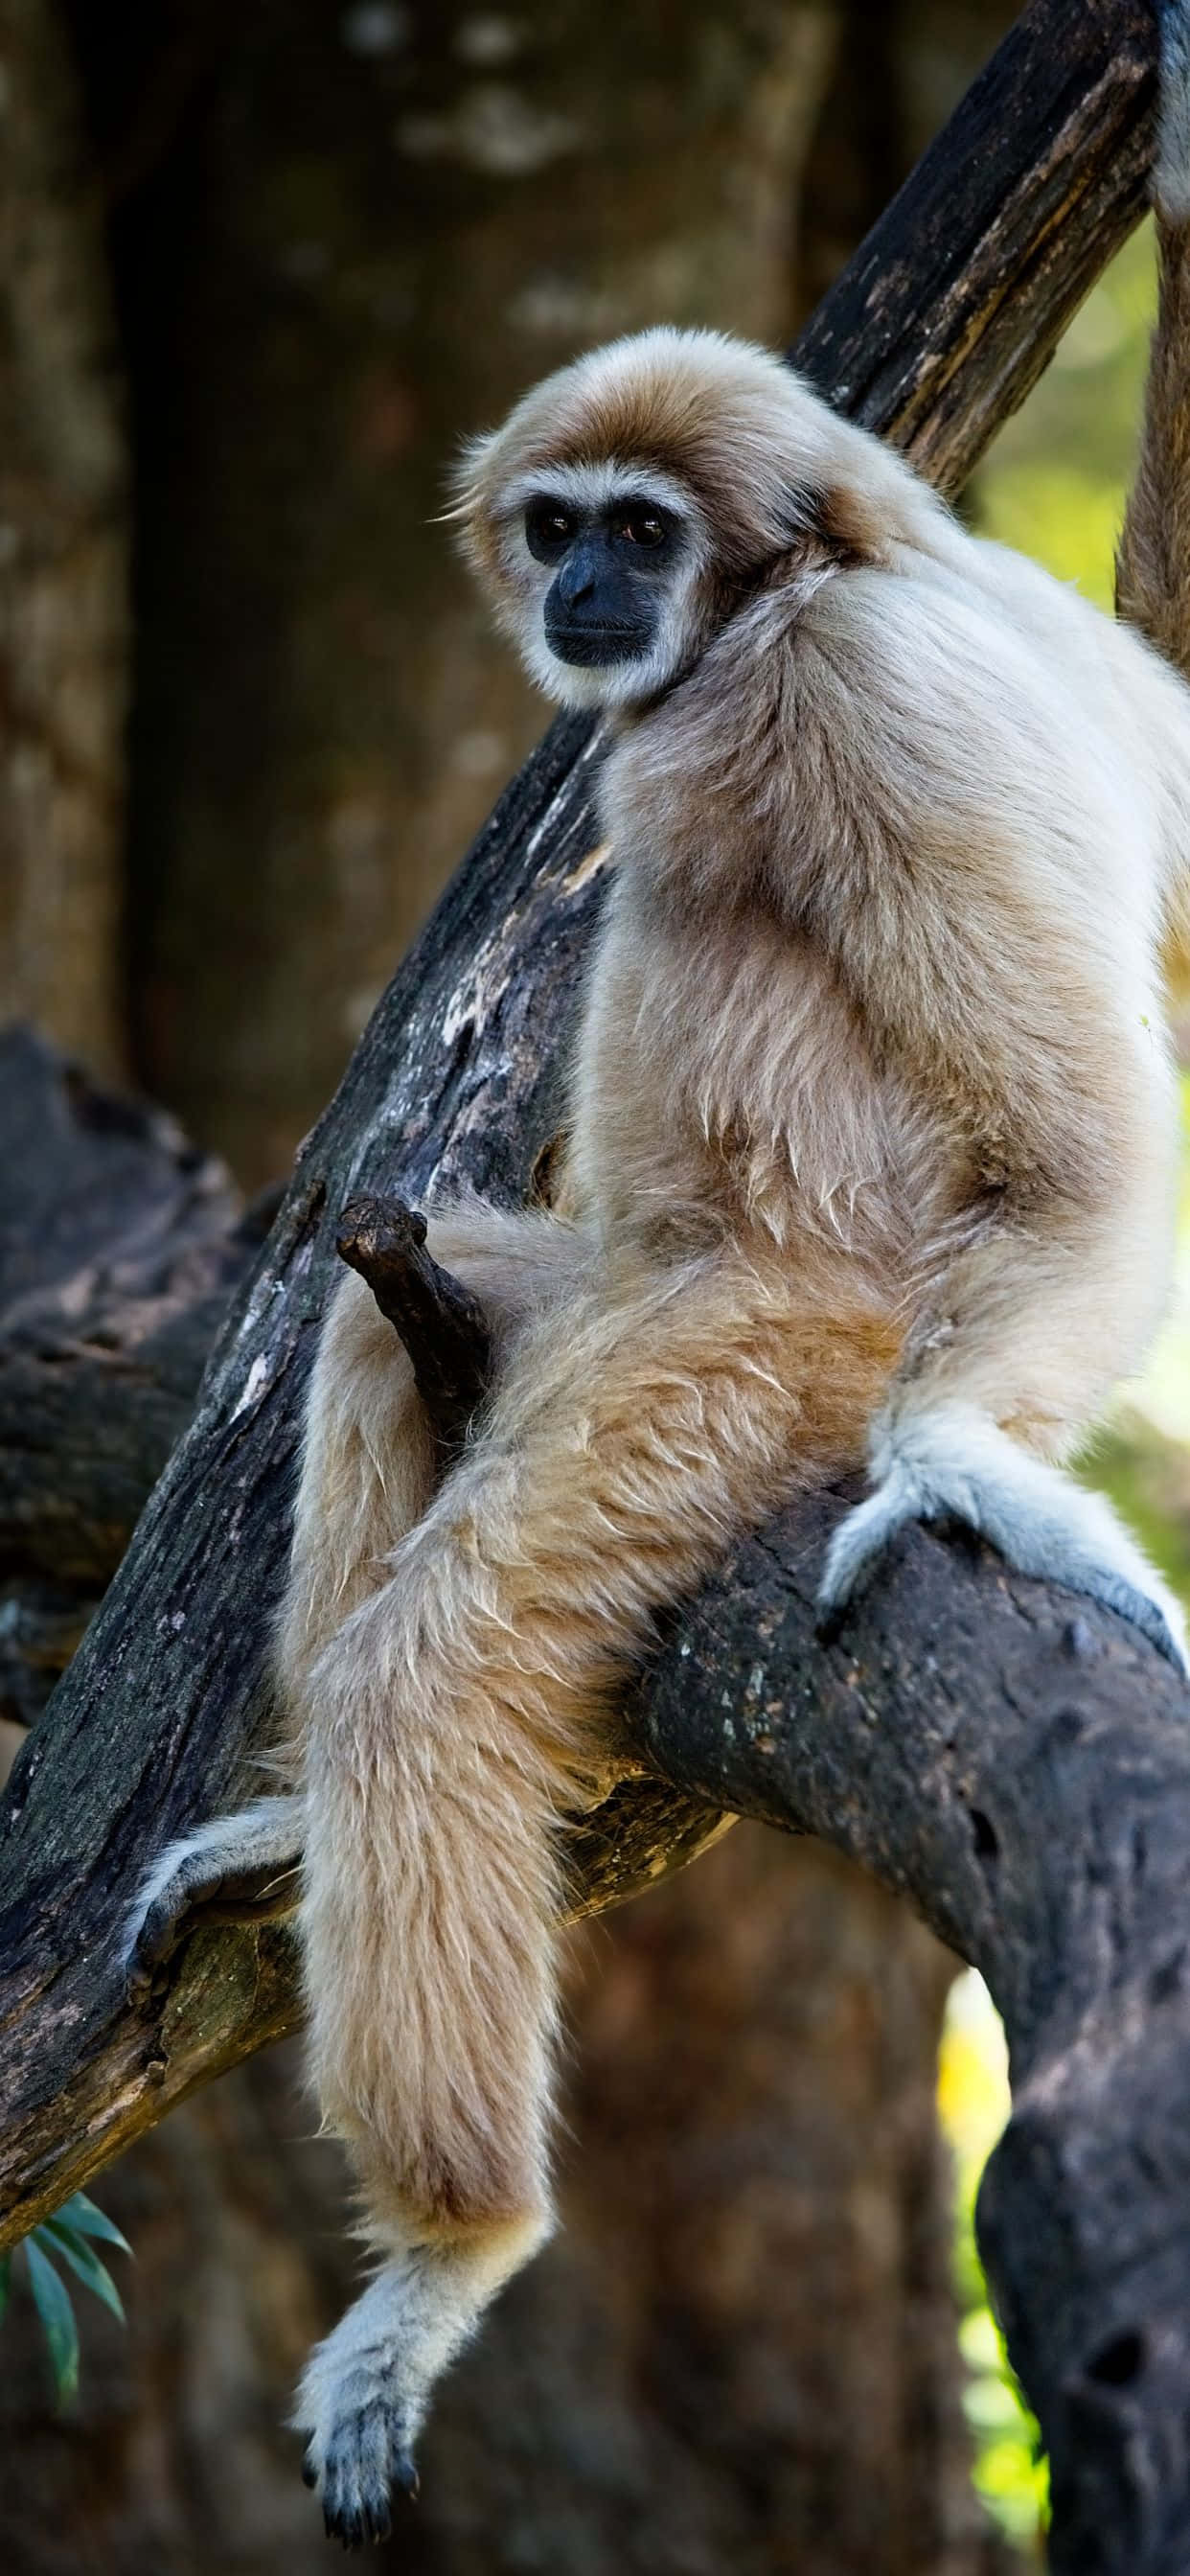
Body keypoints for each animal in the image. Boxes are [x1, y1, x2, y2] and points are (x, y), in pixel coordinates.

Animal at [127, 17, 1190, 2547]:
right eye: (559, 526)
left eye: (644, 529)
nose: (594, 588)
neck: (800, 588)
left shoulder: (867, 674)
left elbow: (1088, 1140)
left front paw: (968, 1470)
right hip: (567, 1299)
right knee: (370, 1318)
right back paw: (308, 1820)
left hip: (752, 1349)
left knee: (442, 1650)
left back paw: (456, 2248)